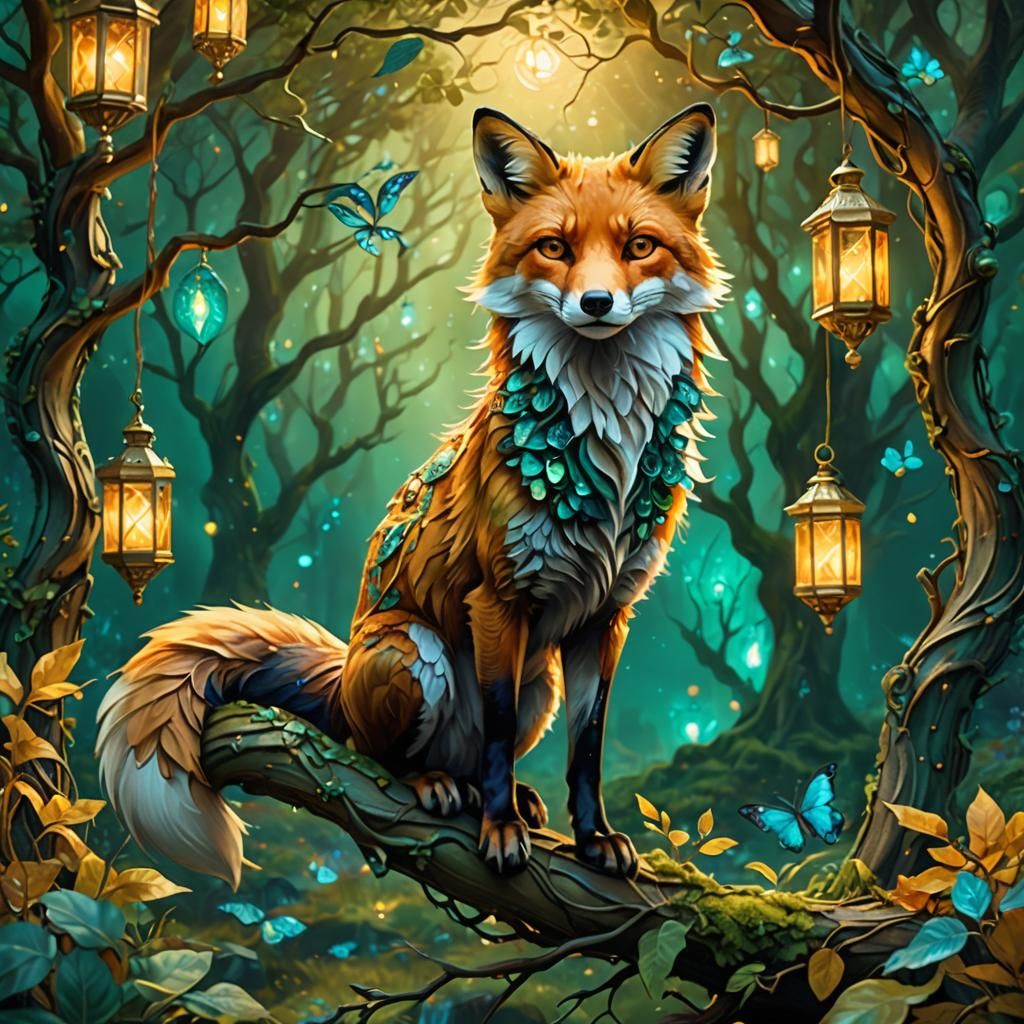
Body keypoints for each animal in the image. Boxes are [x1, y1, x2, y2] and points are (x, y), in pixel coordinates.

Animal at [97, 103, 727, 887]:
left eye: (640, 246)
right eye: (554, 247)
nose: (596, 302)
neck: (603, 451)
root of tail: (340, 680)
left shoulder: (606, 618)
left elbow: (587, 747)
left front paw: (594, 840)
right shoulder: (498, 601)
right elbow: (494, 734)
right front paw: (499, 832)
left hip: (540, 686)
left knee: (482, 754)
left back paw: (508, 797)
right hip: (414, 652)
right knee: (386, 756)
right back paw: (439, 787)